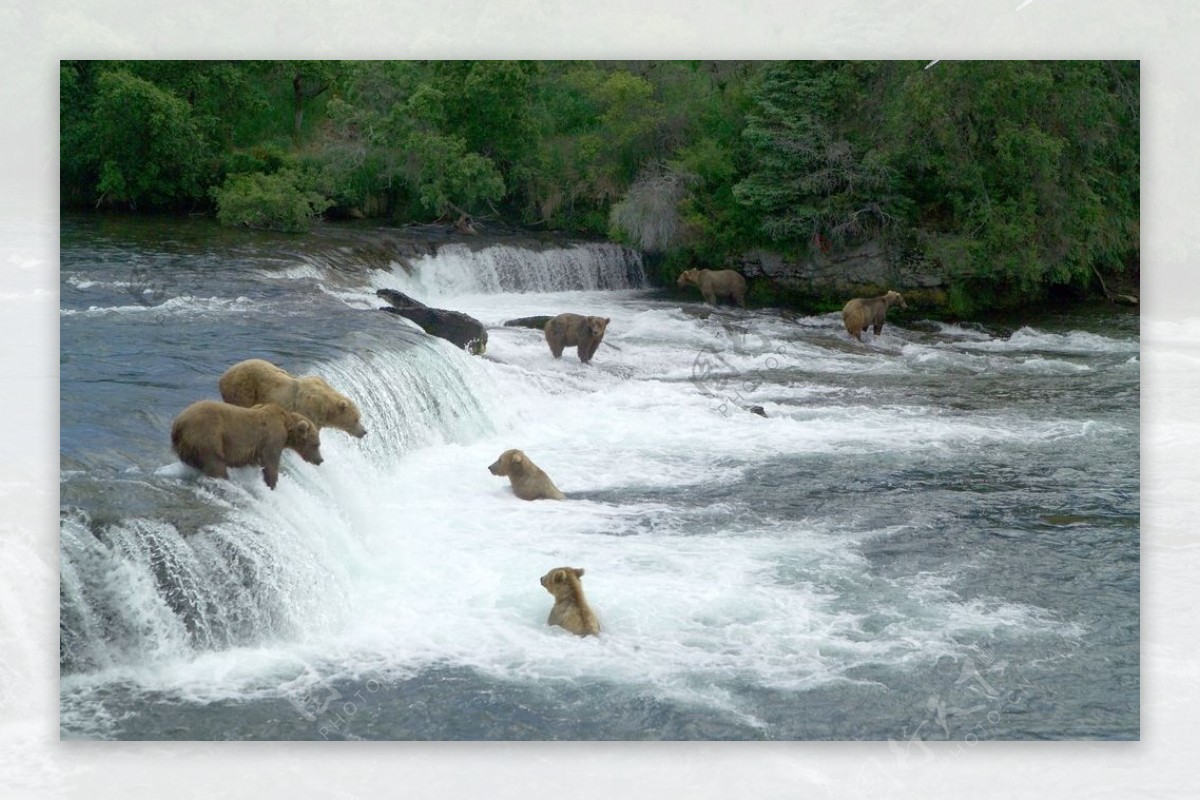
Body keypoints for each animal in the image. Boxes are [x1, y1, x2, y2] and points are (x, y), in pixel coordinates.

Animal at [169, 400, 326, 489]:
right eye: (316, 444)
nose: (320, 460)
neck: (287, 425)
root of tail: (178, 423)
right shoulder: (272, 438)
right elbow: (271, 462)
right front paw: (271, 483)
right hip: (208, 436)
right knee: (215, 463)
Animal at [216, 359, 364, 438]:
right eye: (356, 419)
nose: (364, 432)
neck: (326, 409)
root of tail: (223, 376)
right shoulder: (309, 409)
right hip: (243, 389)